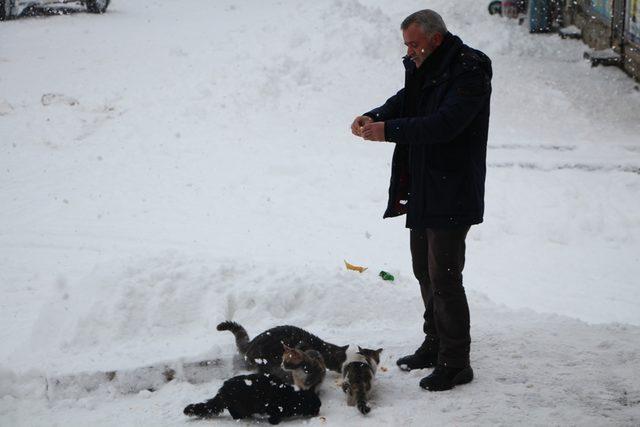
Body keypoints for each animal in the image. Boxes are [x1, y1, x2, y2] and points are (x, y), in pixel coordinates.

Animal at [184, 374, 320, 424]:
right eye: (317, 406)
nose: (318, 412)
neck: (290, 397)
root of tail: (222, 390)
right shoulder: (273, 408)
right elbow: (274, 416)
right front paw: (275, 421)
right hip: (238, 405)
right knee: (235, 414)